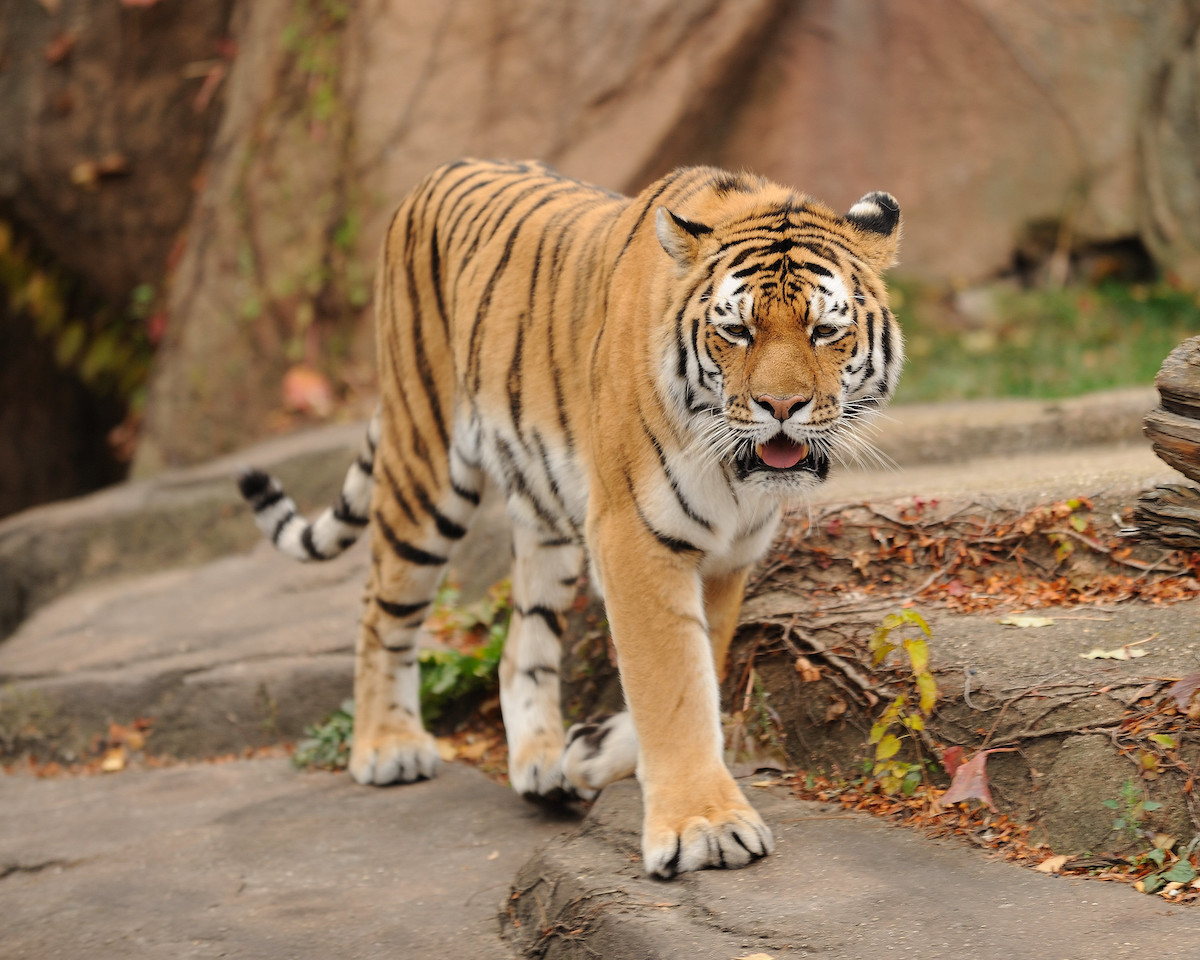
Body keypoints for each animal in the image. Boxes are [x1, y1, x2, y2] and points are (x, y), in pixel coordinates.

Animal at [239, 158, 902, 878]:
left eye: (825, 331)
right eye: (736, 331)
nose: (781, 406)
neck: (736, 476)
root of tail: (438, 173)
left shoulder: (727, 555)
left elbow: (700, 663)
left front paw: (590, 753)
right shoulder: (635, 534)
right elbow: (673, 682)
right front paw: (704, 827)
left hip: (544, 512)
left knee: (518, 649)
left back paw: (541, 764)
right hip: (424, 467)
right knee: (380, 609)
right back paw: (387, 747)